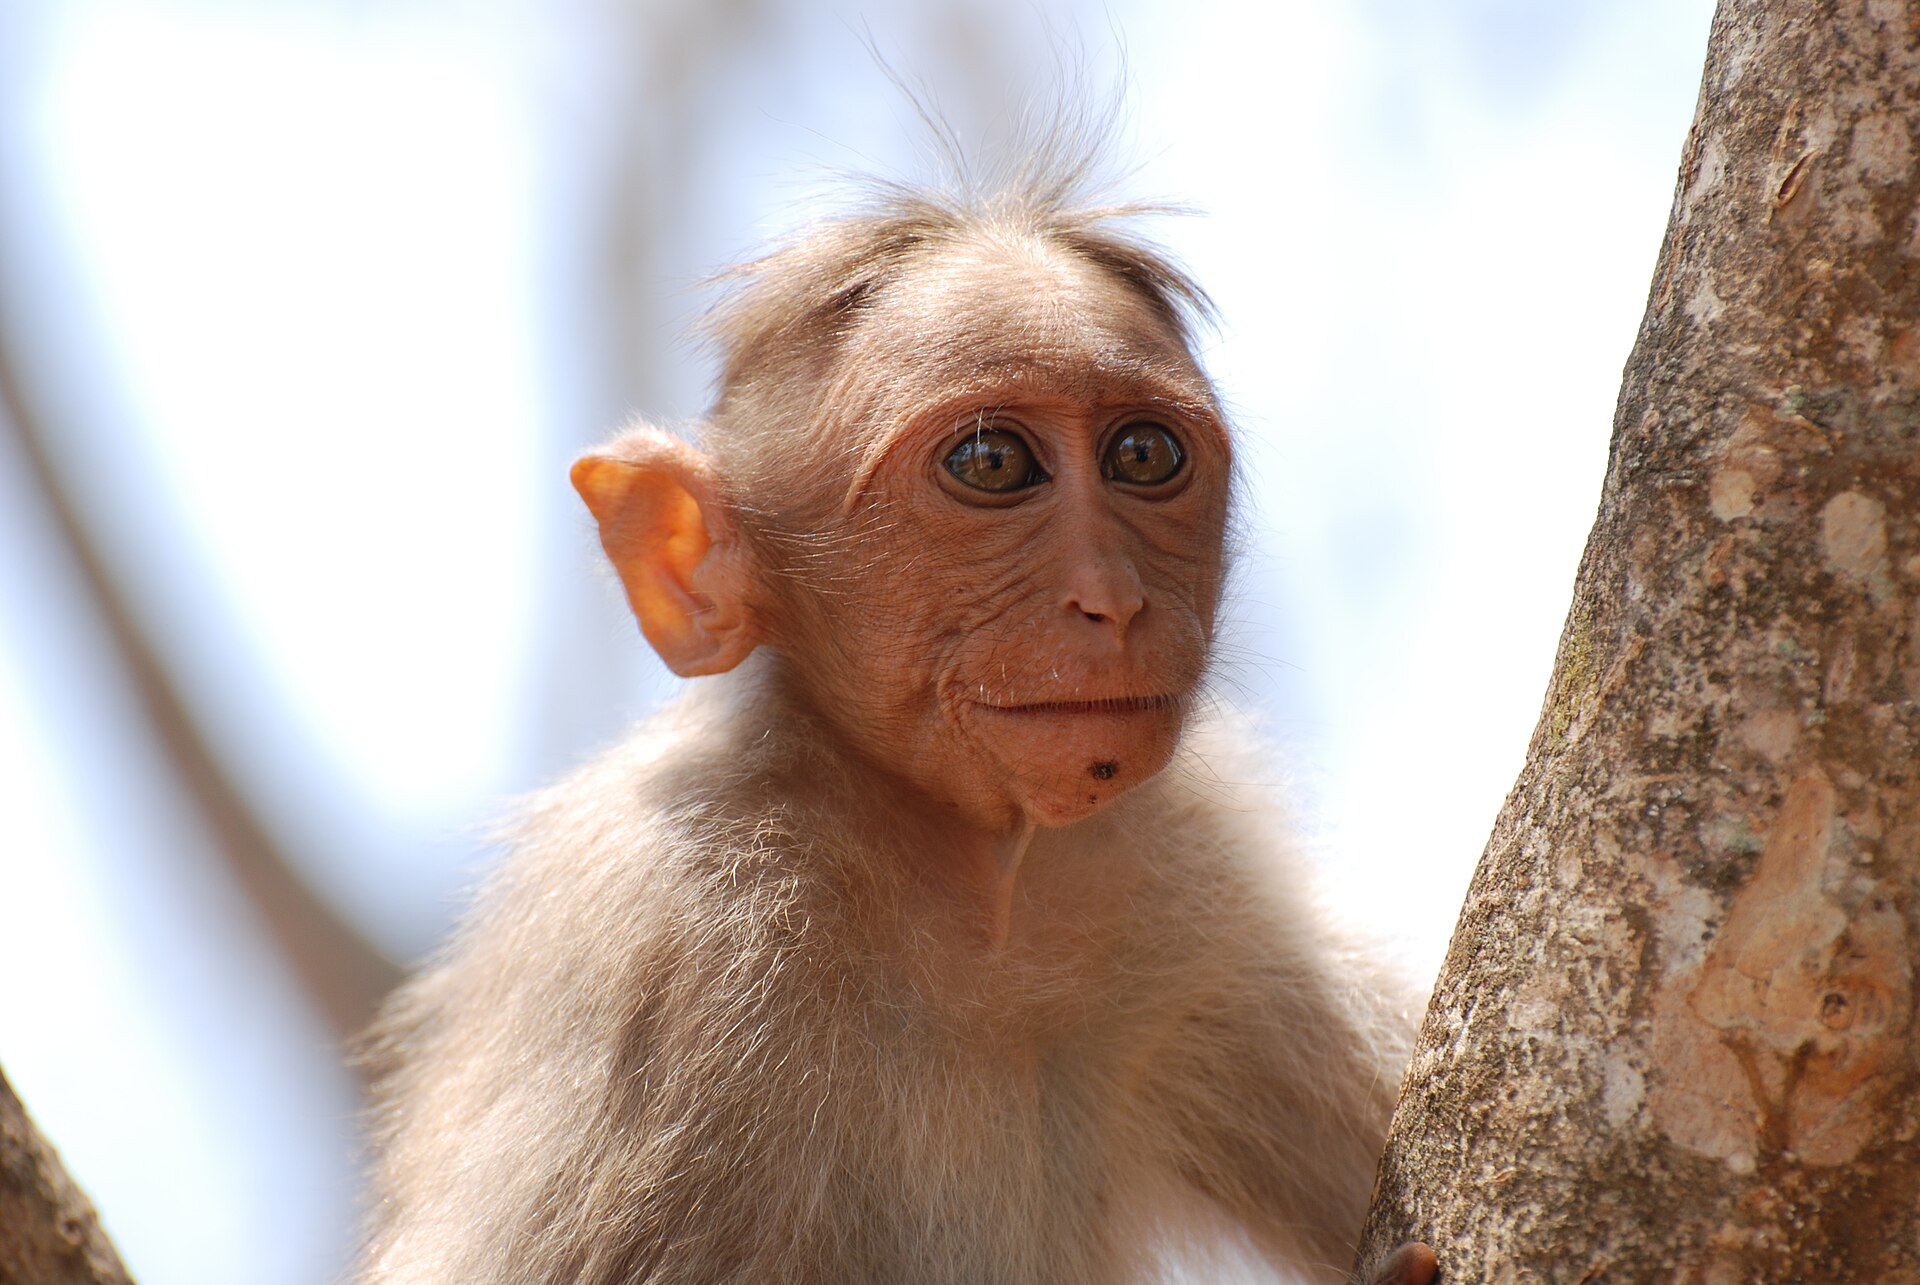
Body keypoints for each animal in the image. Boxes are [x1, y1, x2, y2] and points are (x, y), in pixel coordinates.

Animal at [357, 146, 1437, 1285]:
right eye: (992, 464)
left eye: (1144, 456)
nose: (1113, 600)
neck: (962, 888)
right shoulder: (660, 936)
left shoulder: (1189, 868)